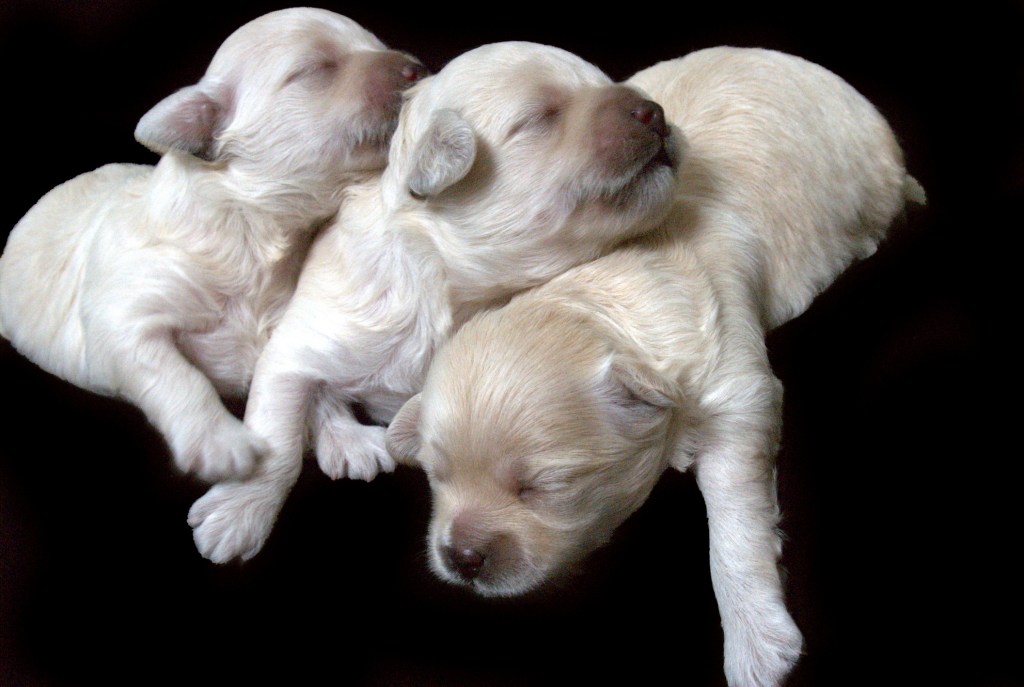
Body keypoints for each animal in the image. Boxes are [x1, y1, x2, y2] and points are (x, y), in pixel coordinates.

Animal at [0, 9, 423, 483]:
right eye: (316, 68)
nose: (418, 69)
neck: (253, 232)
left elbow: (307, 381)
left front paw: (347, 439)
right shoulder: (123, 315)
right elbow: (177, 374)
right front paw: (221, 443)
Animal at [186, 41, 679, 565]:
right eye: (541, 117)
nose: (654, 112)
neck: (452, 286)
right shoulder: (299, 344)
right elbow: (275, 437)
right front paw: (236, 518)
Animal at [385, 47, 929, 687]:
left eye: (541, 487)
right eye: (435, 476)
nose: (462, 559)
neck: (605, 291)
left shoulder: (737, 385)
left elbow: (737, 515)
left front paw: (756, 646)